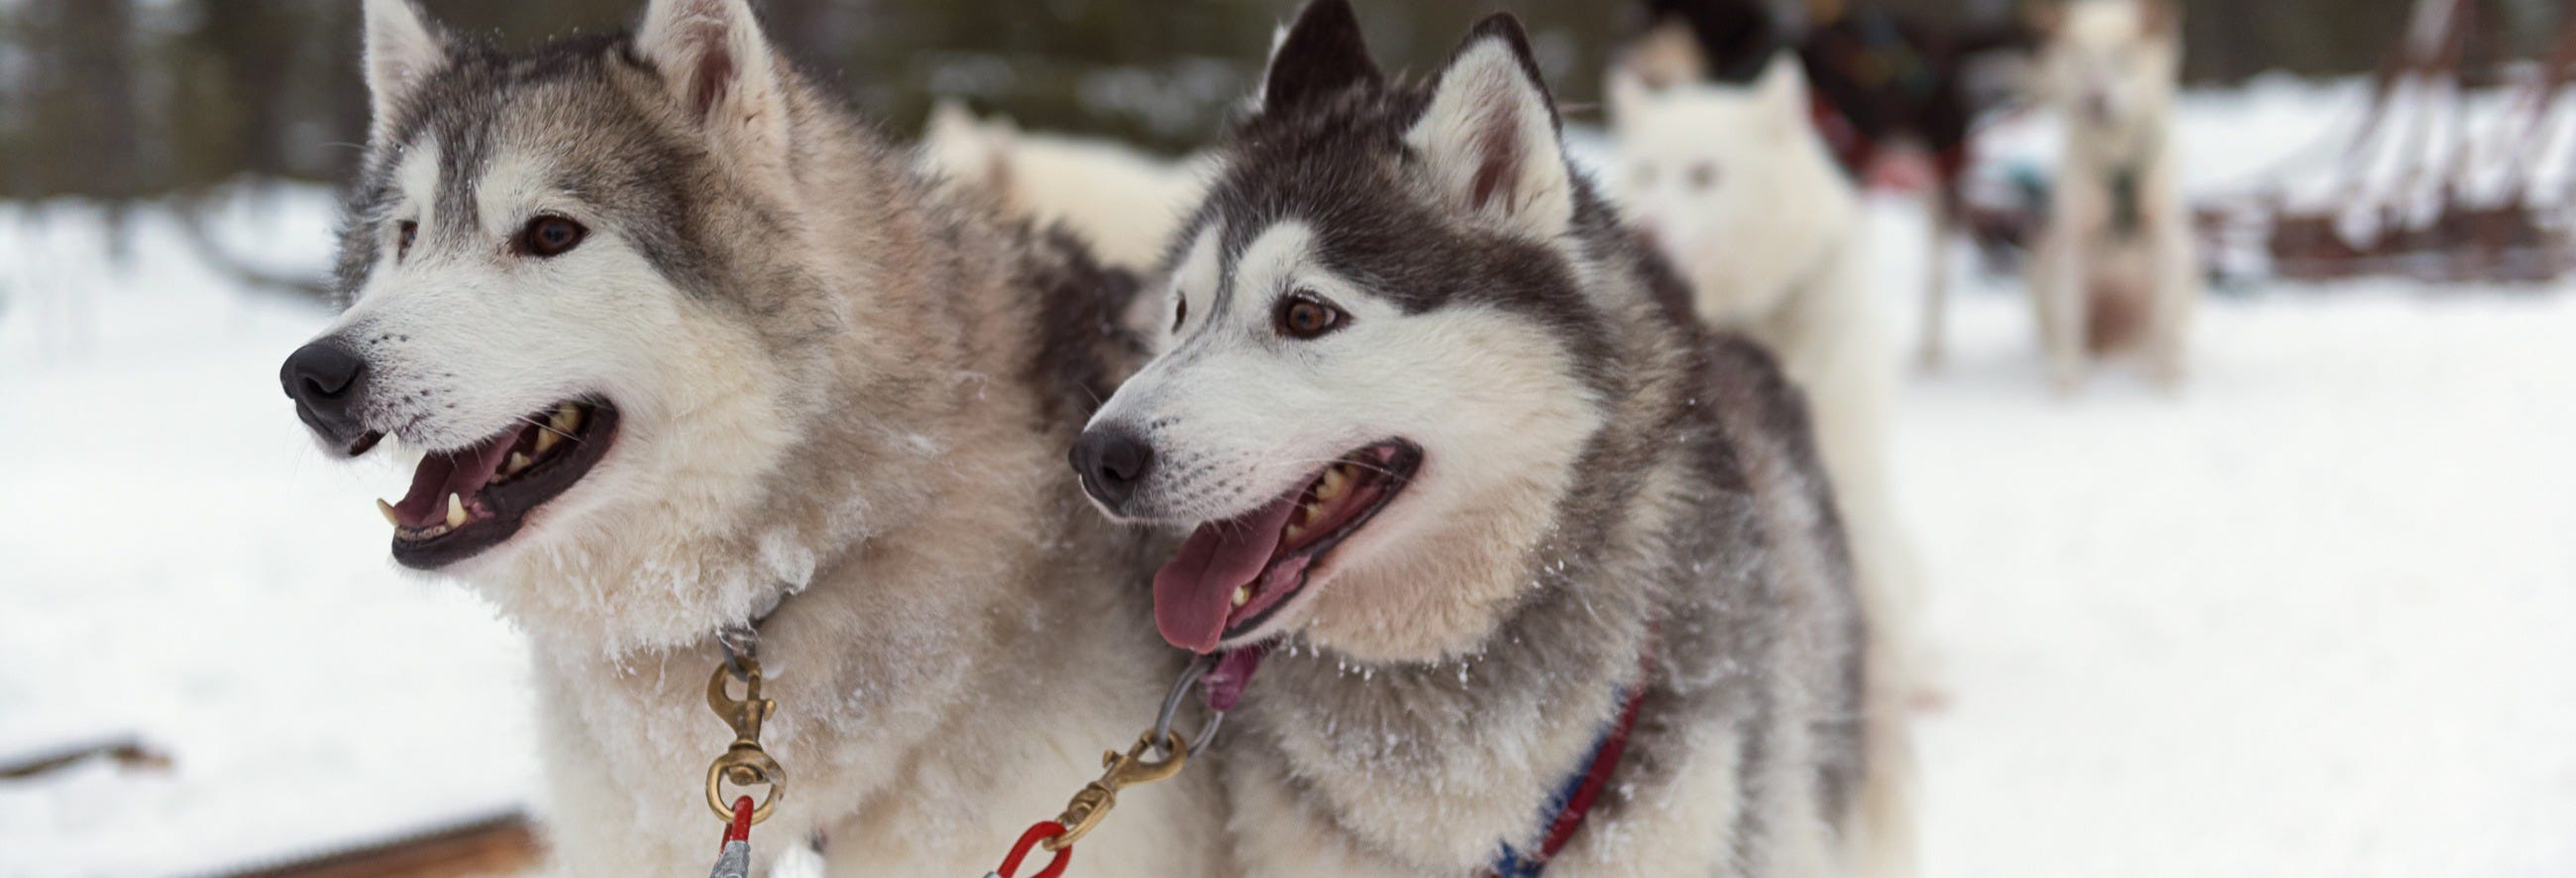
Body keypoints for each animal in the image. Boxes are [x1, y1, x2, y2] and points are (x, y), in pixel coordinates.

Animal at [2029, 0, 2195, 388]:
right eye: (2081, 61)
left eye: (2124, 59)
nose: (2095, 99)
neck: (2117, 154)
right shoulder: (2075, 239)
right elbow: (2070, 320)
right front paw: (2067, 379)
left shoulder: (2164, 235)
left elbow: (2163, 320)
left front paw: (2166, 378)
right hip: (2044, 265)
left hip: (2186, 264)